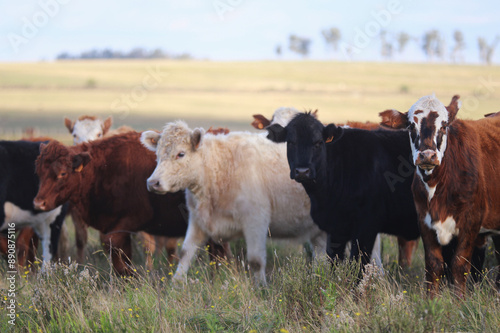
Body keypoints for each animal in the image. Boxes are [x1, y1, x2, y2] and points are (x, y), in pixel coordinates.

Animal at [142, 120, 328, 284]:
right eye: (157, 155)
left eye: (181, 154)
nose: (152, 182)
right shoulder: (198, 220)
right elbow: (186, 252)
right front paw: (175, 285)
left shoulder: (255, 220)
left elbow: (255, 260)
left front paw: (262, 289)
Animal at [378, 94, 500, 296]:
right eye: (411, 126)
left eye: (444, 125)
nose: (427, 155)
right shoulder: (425, 221)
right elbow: (434, 266)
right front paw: (431, 300)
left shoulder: (471, 223)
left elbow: (459, 265)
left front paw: (460, 301)